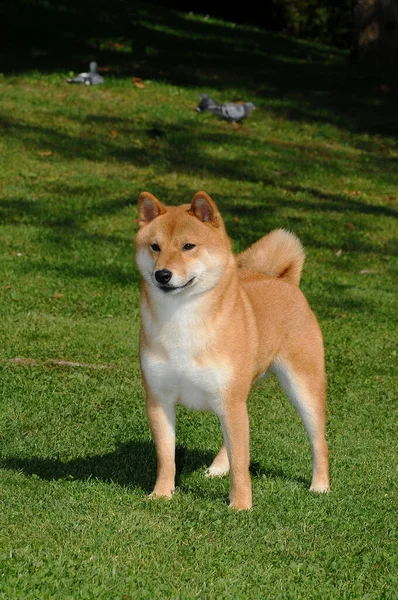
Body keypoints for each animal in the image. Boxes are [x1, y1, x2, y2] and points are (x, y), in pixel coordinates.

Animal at [134, 190, 330, 508]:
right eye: (155, 247)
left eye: (188, 246)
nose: (162, 274)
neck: (182, 322)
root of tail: (284, 281)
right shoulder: (159, 400)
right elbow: (166, 458)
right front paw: (162, 494)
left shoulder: (230, 401)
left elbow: (241, 464)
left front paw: (240, 506)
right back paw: (217, 467)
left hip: (303, 386)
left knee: (319, 441)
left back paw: (320, 486)